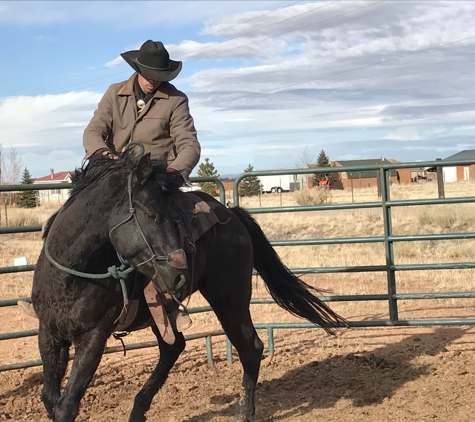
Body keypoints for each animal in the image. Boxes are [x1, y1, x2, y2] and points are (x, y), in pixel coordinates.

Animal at [33, 152, 346, 422]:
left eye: (172, 216)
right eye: (151, 214)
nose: (179, 275)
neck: (72, 276)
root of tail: (232, 216)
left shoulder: (94, 338)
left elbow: (66, 406)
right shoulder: (49, 333)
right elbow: (49, 398)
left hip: (229, 300)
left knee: (250, 348)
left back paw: (244, 413)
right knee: (174, 348)